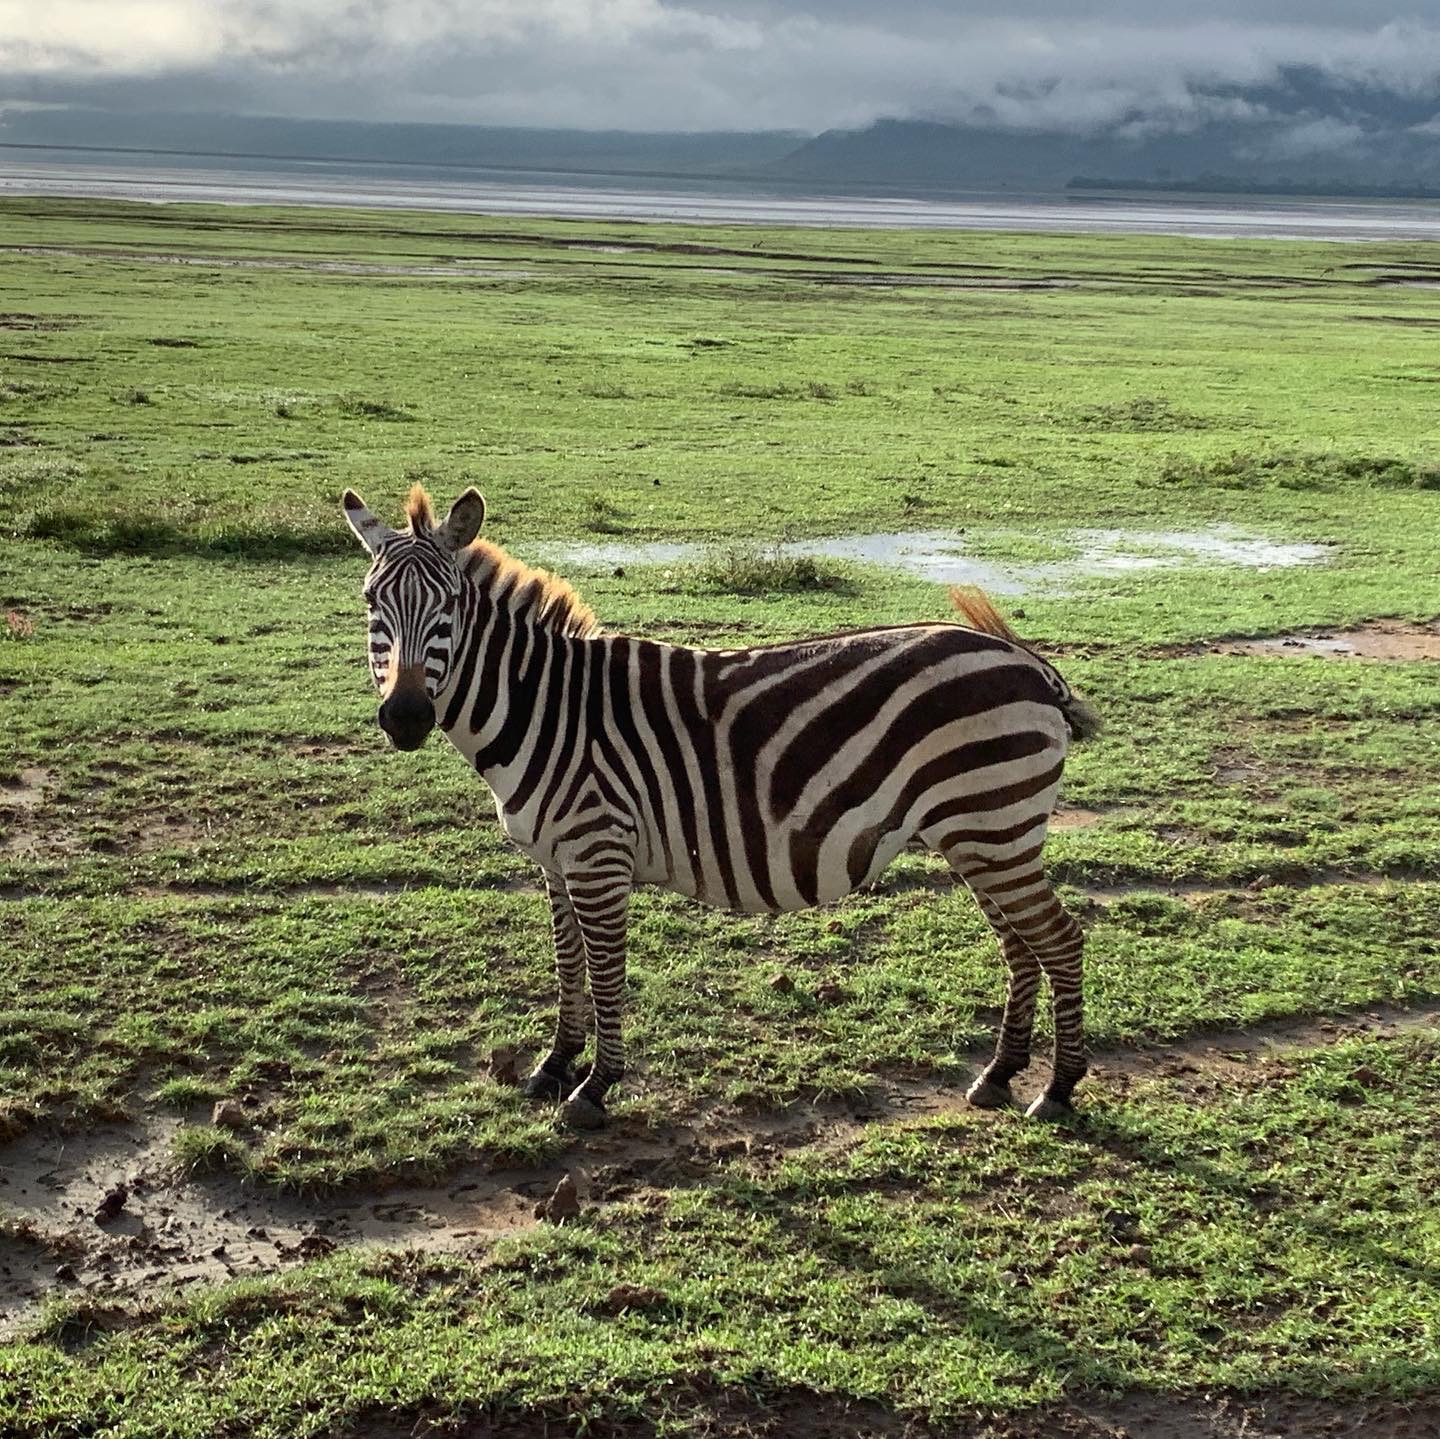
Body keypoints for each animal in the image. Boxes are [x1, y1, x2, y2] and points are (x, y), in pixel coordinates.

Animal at [345, 489, 1100, 1129]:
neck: (543, 707)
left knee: (1059, 940)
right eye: (370, 602)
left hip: (995, 827)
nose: (405, 718)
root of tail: (1028, 662)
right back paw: (998, 1075)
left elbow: (605, 969)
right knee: (1020, 945)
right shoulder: (556, 861)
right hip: (979, 834)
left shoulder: (597, 853)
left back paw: (1058, 1089)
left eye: (449, 605)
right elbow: (568, 965)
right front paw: (554, 1065)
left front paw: (594, 1086)